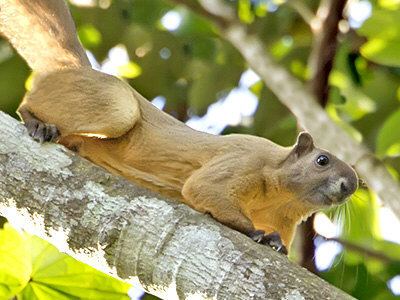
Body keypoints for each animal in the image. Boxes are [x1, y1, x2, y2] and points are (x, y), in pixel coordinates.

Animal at [0, 0, 356, 254]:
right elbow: (203, 189)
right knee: (31, 104)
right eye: (322, 160)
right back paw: (37, 123)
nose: (347, 186)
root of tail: (71, 67)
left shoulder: (283, 220)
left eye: (357, 183)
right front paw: (256, 233)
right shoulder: (244, 160)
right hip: (114, 106)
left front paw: (274, 242)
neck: (281, 199)